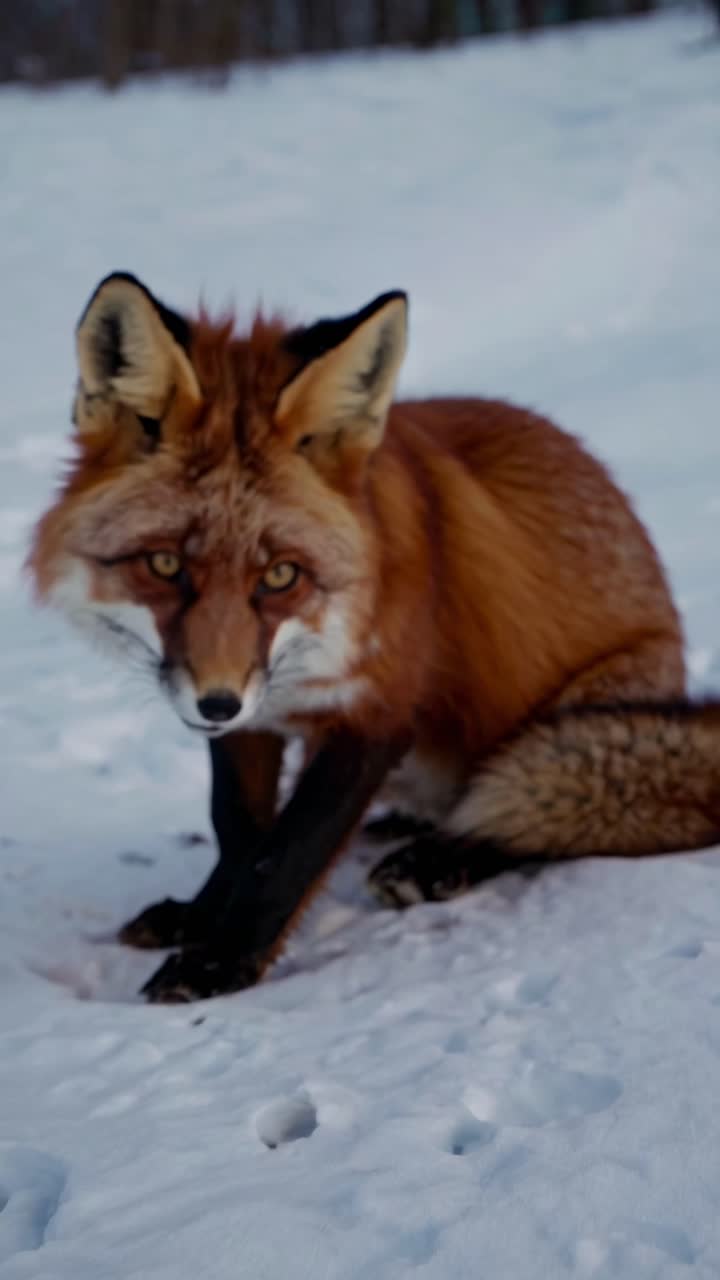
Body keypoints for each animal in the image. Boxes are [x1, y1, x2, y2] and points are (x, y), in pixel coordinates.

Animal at [27, 270, 720, 1002]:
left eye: (279, 574)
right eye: (164, 565)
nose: (215, 704)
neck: (321, 633)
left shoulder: (379, 710)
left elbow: (286, 854)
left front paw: (220, 963)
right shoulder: (254, 712)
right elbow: (238, 829)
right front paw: (203, 916)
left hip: (579, 728)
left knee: (537, 812)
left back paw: (439, 859)